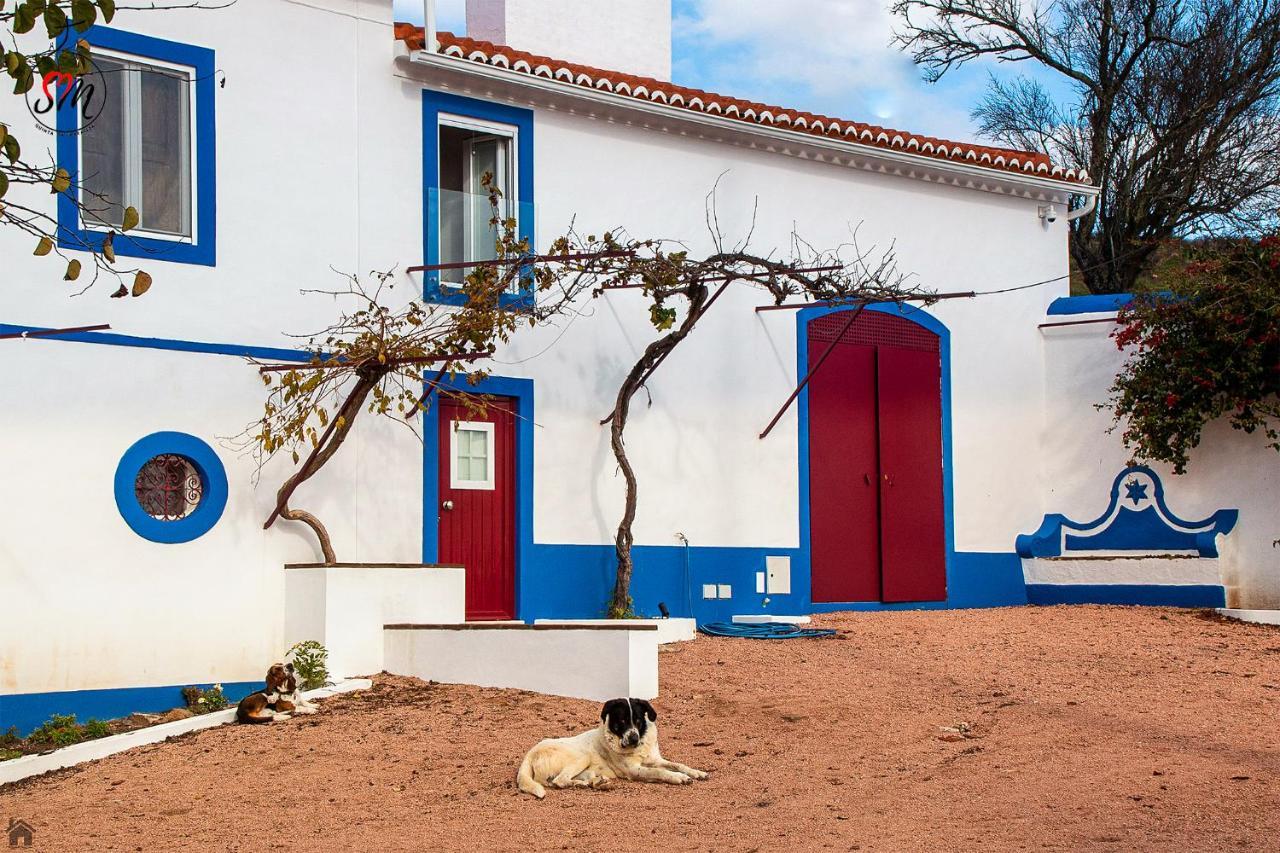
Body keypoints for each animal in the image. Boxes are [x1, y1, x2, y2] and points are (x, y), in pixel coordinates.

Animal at [512, 696, 711, 794]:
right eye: (621, 721)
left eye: (638, 720)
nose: (633, 738)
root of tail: (530, 754)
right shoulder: (634, 770)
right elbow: (659, 772)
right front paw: (679, 778)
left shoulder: (654, 759)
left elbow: (678, 764)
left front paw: (697, 772)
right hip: (582, 757)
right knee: (559, 781)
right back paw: (584, 785)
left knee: (563, 780)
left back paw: (595, 783)